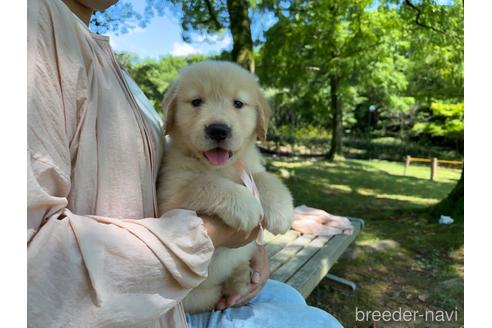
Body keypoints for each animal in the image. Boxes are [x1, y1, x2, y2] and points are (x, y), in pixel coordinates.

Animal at [158, 60, 294, 314]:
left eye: (238, 103)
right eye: (196, 102)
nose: (218, 130)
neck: (222, 167)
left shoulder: (250, 167)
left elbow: (266, 179)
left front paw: (281, 211)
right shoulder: (168, 200)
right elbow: (205, 183)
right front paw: (246, 206)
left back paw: (241, 275)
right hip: (198, 297)